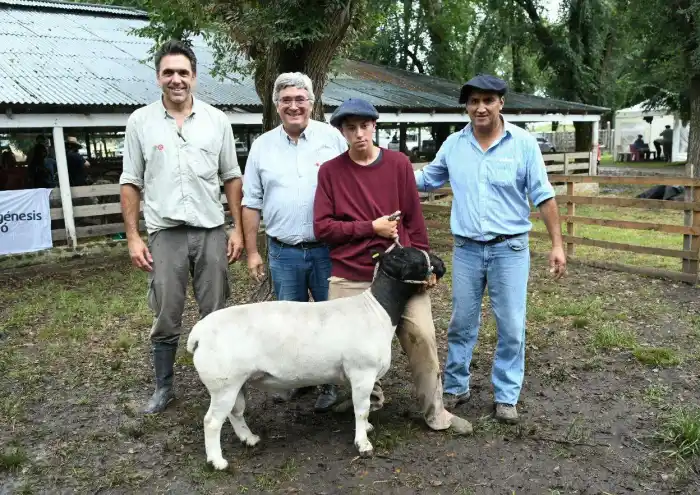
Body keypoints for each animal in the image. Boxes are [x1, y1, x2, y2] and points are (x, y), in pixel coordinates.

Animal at [185, 244, 446, 470]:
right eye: (410, 256)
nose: (441, 264)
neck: (376, 310)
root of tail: (198, 335)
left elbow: (364, 409)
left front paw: (368, 428)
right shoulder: (362, 373)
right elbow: (361, 408)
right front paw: (363, 444)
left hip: (235, 382)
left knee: (235, 412)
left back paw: (249, 439)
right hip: (223, 383)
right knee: (211, 421)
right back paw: (217, 462)